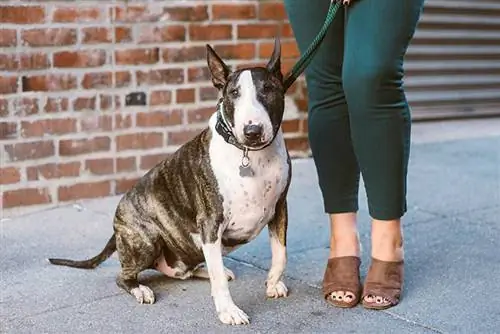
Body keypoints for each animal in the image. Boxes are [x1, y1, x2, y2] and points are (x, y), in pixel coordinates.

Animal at [48, 37, 292, 324]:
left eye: (268, 90)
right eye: (234, 94)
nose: (252, 131)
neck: (250, 155)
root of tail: (117, 225)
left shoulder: (280, 207)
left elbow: (281, 253)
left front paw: (273, 283)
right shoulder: (210, 222)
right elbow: (220, 280)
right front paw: (229, 311)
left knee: (188, 269)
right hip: (147, 240)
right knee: (123, 276)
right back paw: (141, 289)